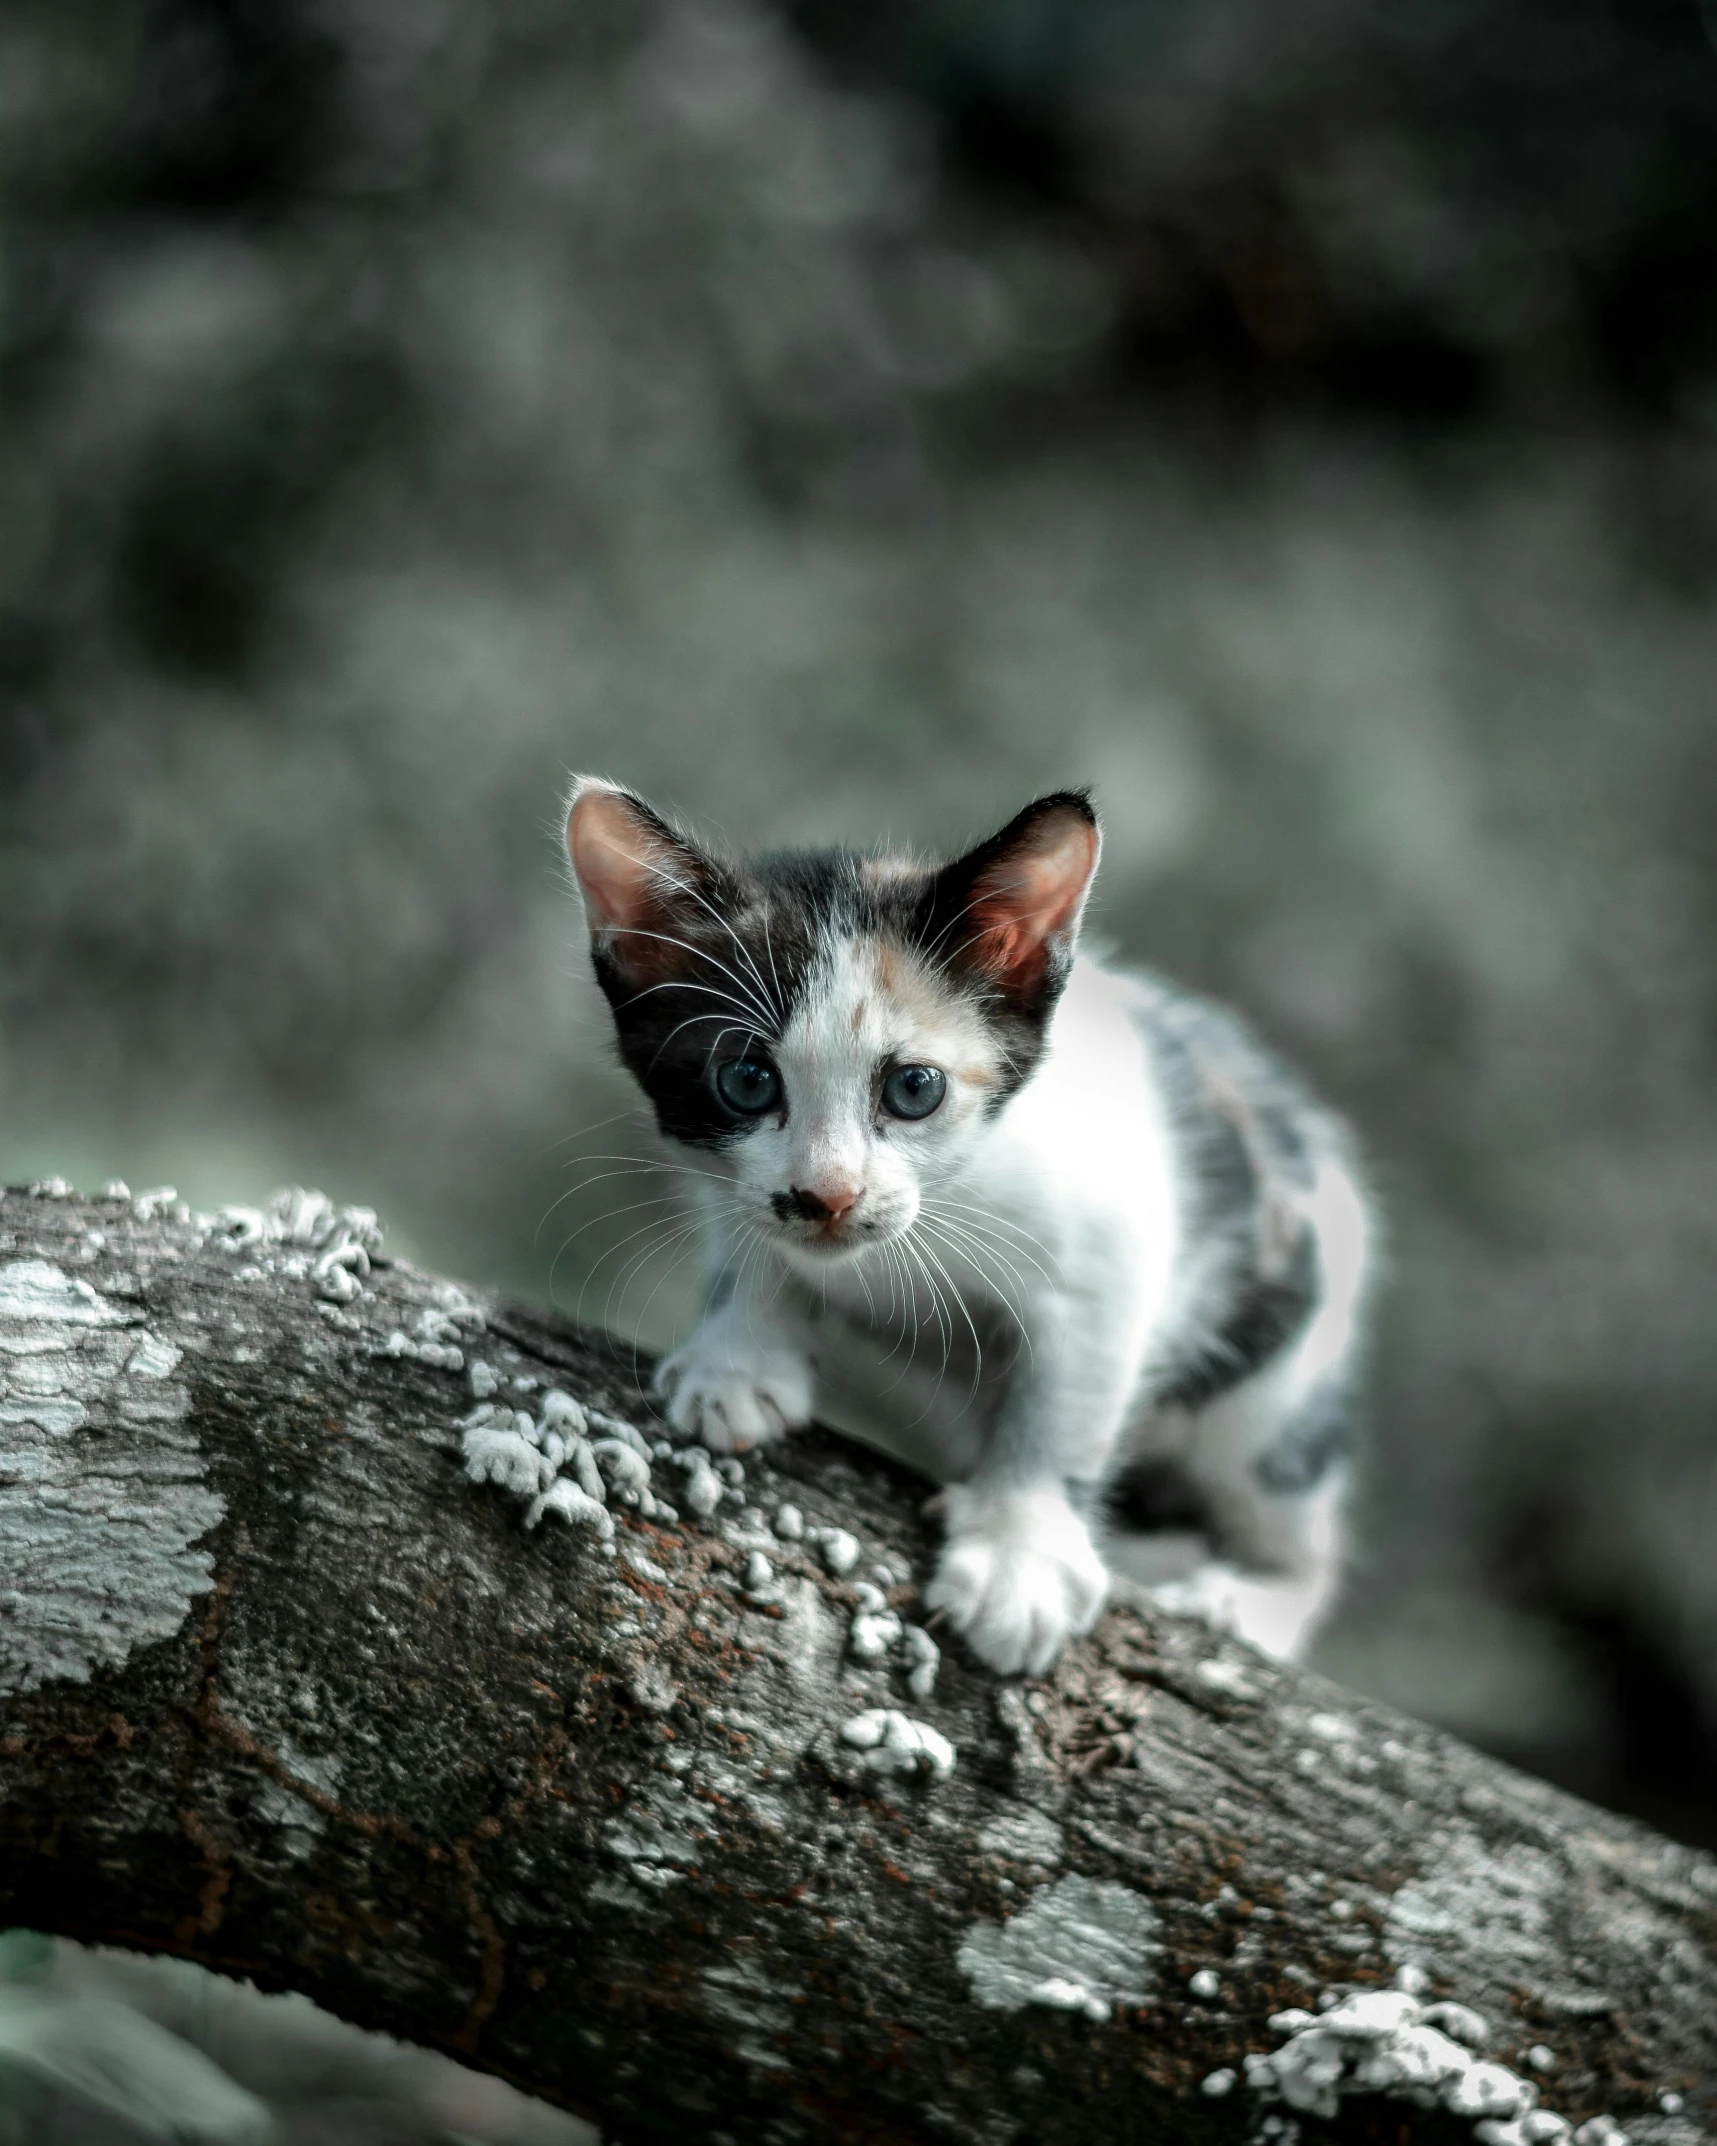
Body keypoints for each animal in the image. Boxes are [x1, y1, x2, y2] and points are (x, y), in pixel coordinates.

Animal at [570, 785, 1373, 1673]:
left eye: (914, 1088)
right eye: (746, 1080)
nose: (829, 1196)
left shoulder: (1114, 1242)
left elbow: (1062, 1405)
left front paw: (1021, 1554)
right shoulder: (735, 1190)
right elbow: (745, 1241)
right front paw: (735, 1357)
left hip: (1279, 1374)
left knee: (1289, 1500)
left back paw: (1250, 1596)